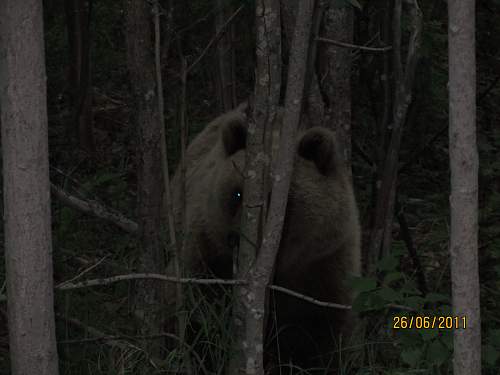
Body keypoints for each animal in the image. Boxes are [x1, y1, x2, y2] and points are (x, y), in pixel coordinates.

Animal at [170, 104, 362, 374]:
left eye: (278, 200)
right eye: (238, 194)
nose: (237, 238)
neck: (282, 267)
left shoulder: (324, 265)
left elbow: (324, 337)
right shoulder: (209, 251)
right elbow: (201, 316)